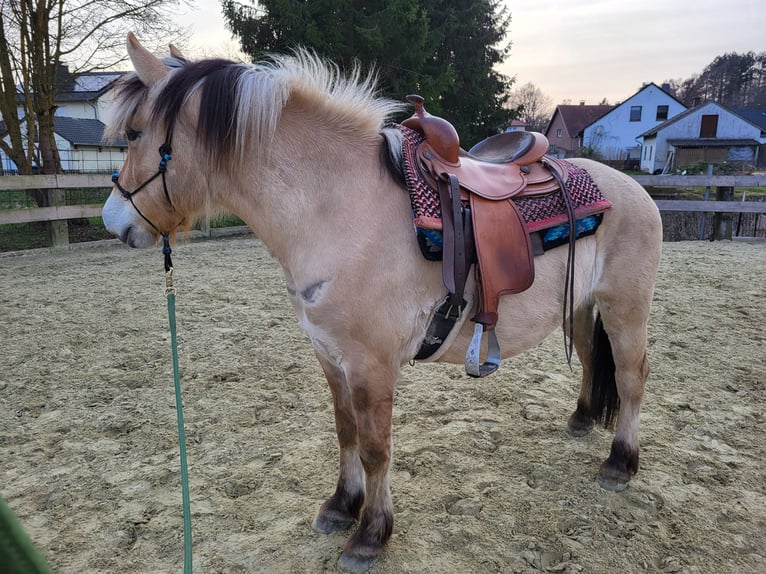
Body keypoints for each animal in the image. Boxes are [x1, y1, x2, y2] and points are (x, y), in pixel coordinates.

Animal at [103, 33, 663, 572]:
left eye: (132, 133)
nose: (113, 222)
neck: (339, 209)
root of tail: (630, 185)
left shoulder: (372, 365)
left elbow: (375, 449)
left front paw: (371, 534)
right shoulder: (330, 357)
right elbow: (345, 431)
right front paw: (340, 506)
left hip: (625, 309)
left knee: (632, 377)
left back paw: (620, 463)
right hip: (581, 308)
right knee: (591, 360)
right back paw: (582, 419)